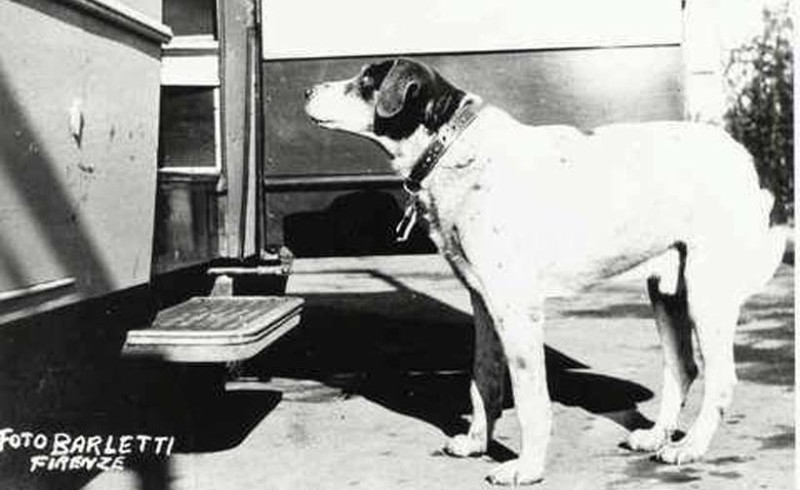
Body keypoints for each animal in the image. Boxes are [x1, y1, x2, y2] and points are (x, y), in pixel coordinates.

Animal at [304, 58, 784, 486]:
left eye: (367, 81)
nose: (306, 91)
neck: (452, 147)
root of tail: (744, 157)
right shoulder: (484, 304)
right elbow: (483, 380)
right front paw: (477, 443)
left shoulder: (516, 310)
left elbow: (531, 399)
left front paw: (527, 468)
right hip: (667, 292)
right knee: (683, 367)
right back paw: (655, 437)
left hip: (706, 294)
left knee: (720, 378)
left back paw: (690, 447)